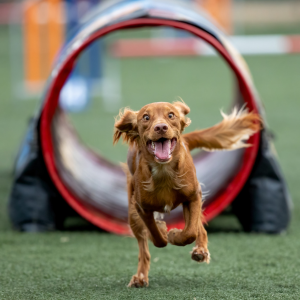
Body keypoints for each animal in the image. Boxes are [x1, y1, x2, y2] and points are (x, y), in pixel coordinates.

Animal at [112, 101, 260, 288]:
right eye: (146, 117)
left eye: (171, 115)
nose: (161, 127)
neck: (164, 171)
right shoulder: (141, 208)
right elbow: (157, 237)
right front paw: (163, 230)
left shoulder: (194, 196)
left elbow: (190, 232)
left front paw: (174, 235)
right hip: (132, 214)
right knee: (143, 248)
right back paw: (140, 277)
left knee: (199, 228)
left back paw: (200, 250)